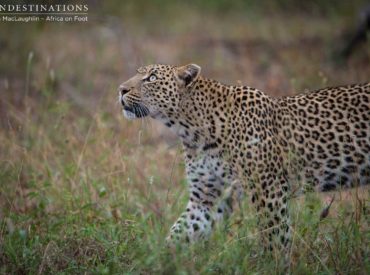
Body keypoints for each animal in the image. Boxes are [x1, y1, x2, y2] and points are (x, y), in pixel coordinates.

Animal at [118, 64, 370, 252]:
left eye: (151, 78)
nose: (120, 89)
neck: (193, 131)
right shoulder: (207, 196)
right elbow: (180, 232)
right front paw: (158, 260)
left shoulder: (268, 190)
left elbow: (274, 239)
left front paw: (274, 266)